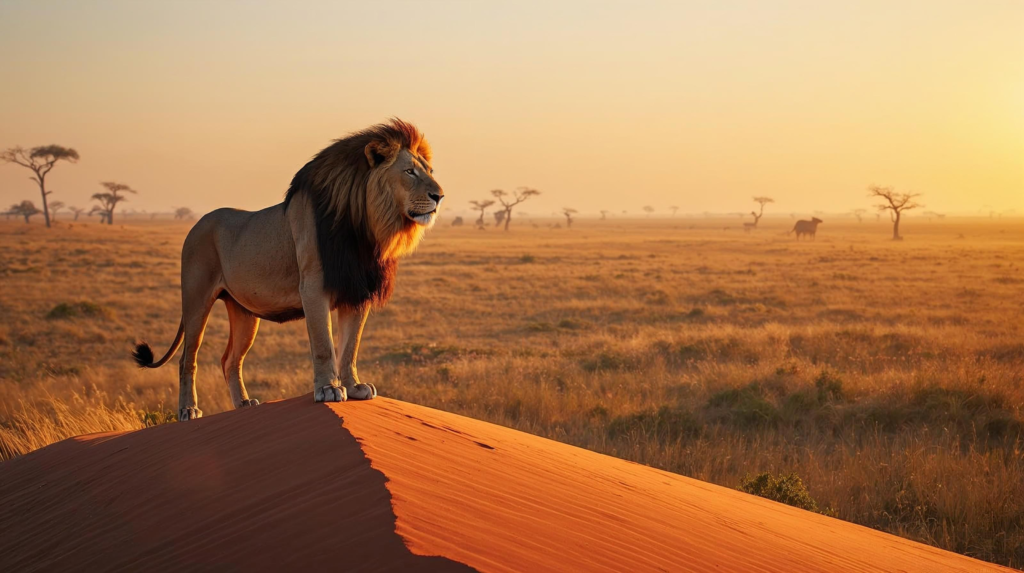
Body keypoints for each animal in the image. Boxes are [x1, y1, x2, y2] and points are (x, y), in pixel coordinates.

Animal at [132, 119, 443, 421]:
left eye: (429, 170)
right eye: (409, 172)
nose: (439, 195)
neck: (365, 225)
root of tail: (196, 224)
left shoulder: (356, 291)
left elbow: (349, 347)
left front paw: (354, 387)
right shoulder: (314, 287)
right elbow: (323, 345)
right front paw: (328, 389)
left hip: (244, 313)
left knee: (230, 359)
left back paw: (244, 404)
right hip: (197, 300)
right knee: (188, 359)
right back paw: (188, 410)